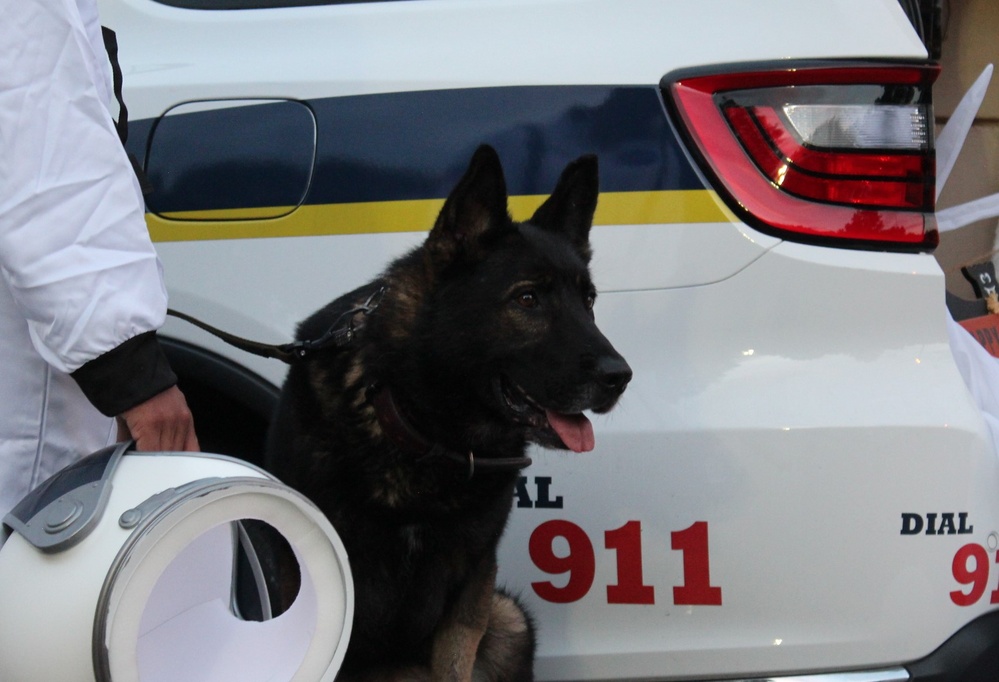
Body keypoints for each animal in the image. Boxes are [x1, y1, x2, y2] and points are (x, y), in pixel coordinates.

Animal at [266, 146, 632, 676]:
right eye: (527, 298)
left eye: (588, 301)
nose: (619, 376)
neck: (422, 432)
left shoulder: (470, 588)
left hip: (509, 620)